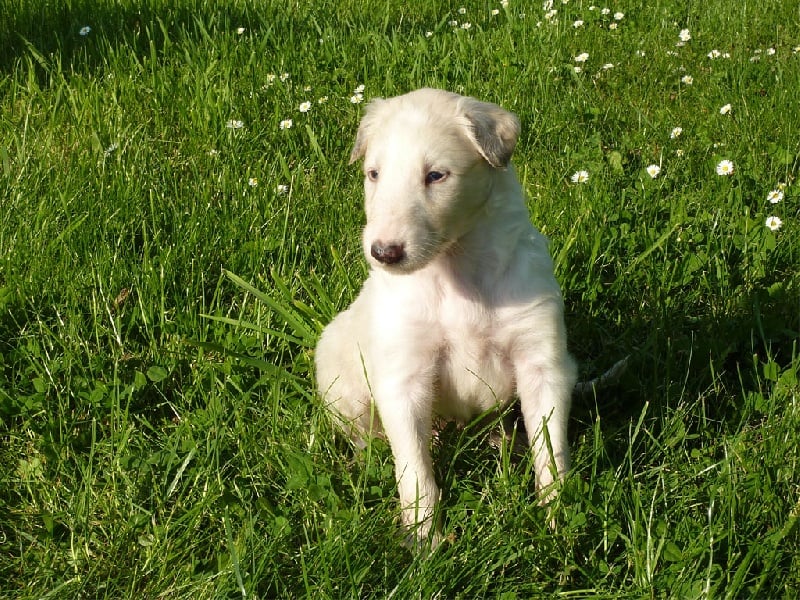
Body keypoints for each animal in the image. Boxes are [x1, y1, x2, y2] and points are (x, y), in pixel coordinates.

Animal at [315, 88, 577, 547]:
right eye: (373, 174)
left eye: (436, 175)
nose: (383, 253)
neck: (455, 265)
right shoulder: (404, 375)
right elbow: (414, 469)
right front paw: (425, 541)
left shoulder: (542, 360)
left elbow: (550, 444)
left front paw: (555, 520)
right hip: (339, 374)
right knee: (364, 436)